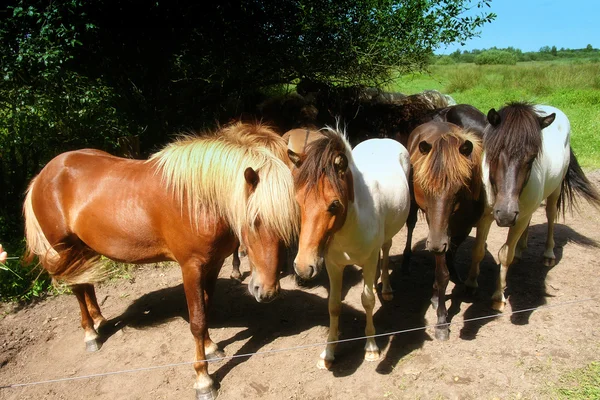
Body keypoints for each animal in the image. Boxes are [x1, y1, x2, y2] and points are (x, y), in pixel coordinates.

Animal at [23, 122, 300, 400]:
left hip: (85, 248)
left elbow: (206, 307)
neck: (197, 200)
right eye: (254, 220)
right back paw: (91, 334)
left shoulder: (213, 263)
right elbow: (197, 321)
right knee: (77, 288)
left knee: (87, 284)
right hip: (65, 248)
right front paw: (203, 380)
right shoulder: (191, 267)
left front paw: (211, 348)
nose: (267, 292)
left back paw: (100, 320)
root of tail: (45, 174)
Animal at [288, 126, 410, 370]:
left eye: (334, 204)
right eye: (298, 201)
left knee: (385, 251)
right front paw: (328, 354)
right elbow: (334, 305)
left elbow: (368, 301)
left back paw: (386, 288)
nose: (303, 267)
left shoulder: (369, 261)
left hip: (386, 239)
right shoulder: (333, 265)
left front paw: (371, 348)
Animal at [404, 120, 482, 340]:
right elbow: (441, 274)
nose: (436, 245)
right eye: (423, 186)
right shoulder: (436, 231)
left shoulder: (462, 228)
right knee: (411, 225)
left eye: (459, 188)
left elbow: (451, 254)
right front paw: (441, 320)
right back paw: (406, 261)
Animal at [466, 102, 600, 310]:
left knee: (551, 217)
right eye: (494, 155)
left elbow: (505, 254)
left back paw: (548, 254)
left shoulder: (517, 218)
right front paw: (471, 283)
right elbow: (478, 250)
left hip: (553, 193)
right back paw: (521, 249)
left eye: (531, 158)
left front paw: (498, 296)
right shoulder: (486, 216)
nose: (505, 215)